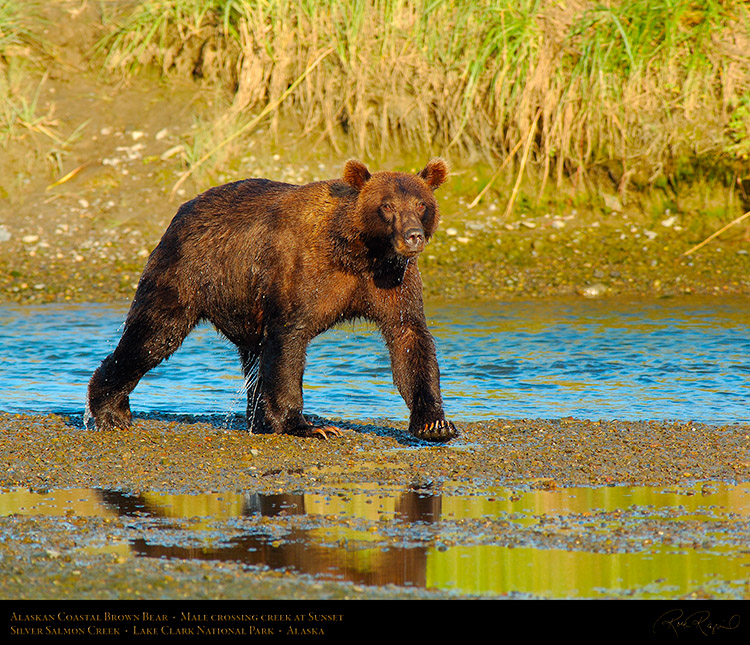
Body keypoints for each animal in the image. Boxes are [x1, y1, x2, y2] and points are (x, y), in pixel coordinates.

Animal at [85, 159, 456, 442]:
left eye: (422, 204)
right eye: (387, 206)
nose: (413, 236)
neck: (360, 252)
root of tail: (183, 209)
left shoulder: (392, 282)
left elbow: (409, 337)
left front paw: (435, 423)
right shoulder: (303, 274)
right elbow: (288, 343)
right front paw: (307, 426)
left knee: (251, 358)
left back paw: (257, 419)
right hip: (188, 271)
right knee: (154, 335)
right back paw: (110, 410)